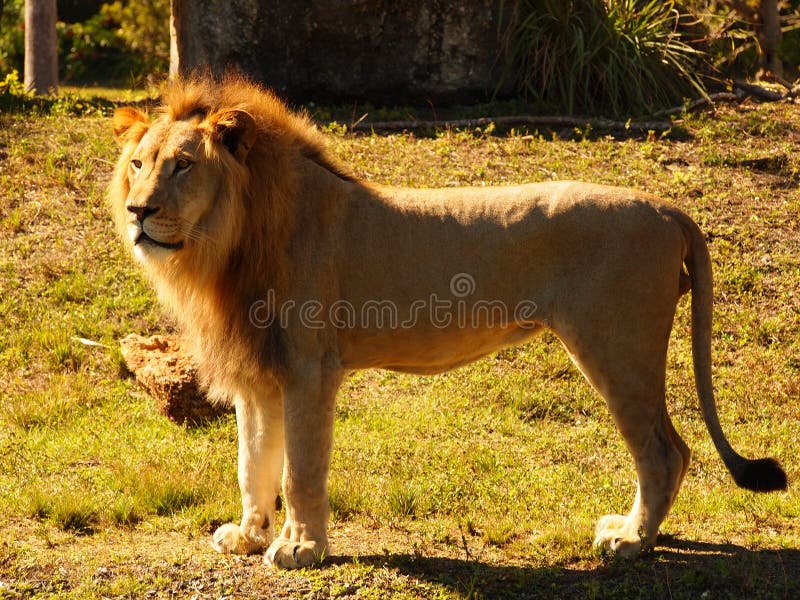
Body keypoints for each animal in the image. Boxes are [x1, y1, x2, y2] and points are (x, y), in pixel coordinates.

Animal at [111, 74, 788, 568]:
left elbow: (300, 468)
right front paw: (250, 536)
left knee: (665, 451)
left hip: (617, 350)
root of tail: (666, 208)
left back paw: (630, 540)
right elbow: (254, 462)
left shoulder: (308, 368)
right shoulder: (259, 373)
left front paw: (301, 548)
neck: (227, 244)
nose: (137, 211)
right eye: (140, 164)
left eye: (183, 166)